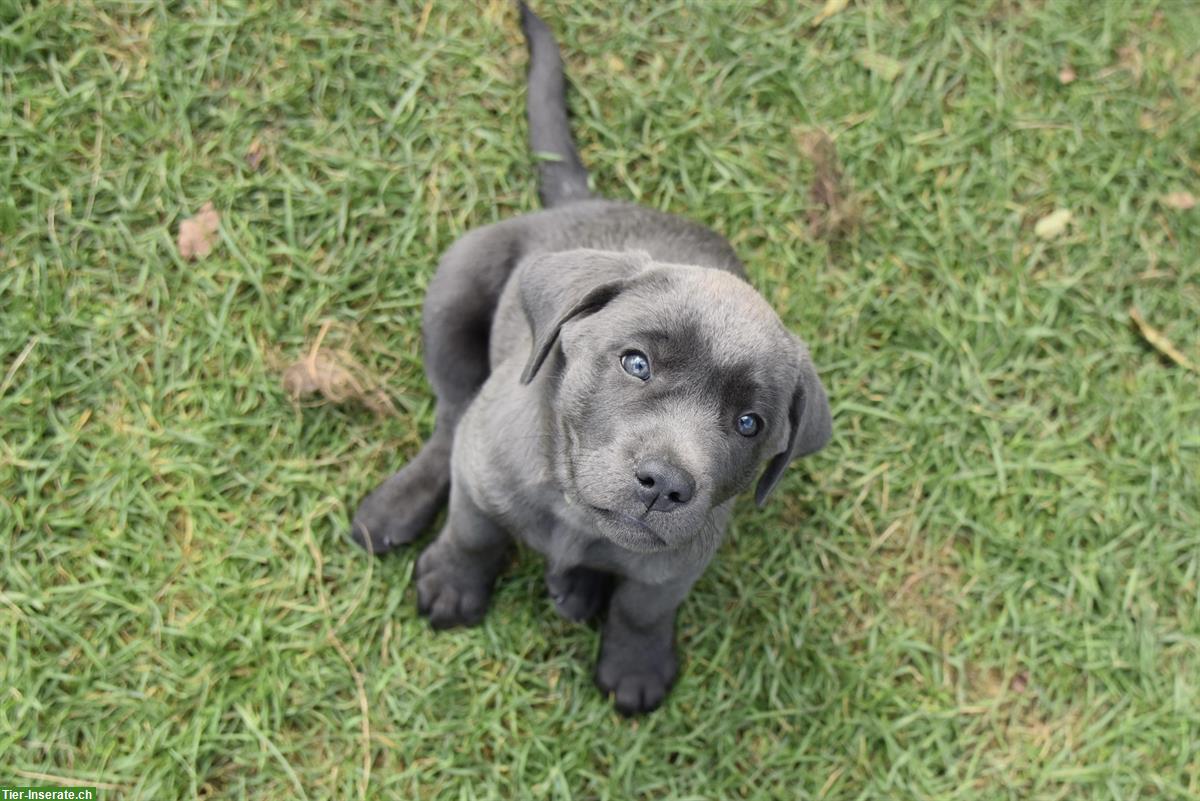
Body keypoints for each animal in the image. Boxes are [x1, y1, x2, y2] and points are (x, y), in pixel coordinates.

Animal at [350, 3, 830, 714]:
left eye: (750, 424)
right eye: (636, 364)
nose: (665, 484)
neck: (573, 510)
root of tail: (585, 202)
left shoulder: (678, 561)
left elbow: (642, 607)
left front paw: (635, 664)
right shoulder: (483, 474)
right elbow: (473, 532)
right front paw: (454, 585)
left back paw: (578, 589)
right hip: (456, 288)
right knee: (451, 415)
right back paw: (396, 507)